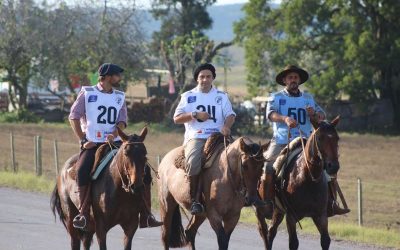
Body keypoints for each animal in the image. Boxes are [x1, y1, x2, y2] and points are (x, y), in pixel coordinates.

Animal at [256, 116, 340, 249]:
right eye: (320, 138)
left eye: (337, 138)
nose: (333, 166)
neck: (307, 178)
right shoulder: (291, 216)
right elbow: (293, 243)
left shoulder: (320, 215)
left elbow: (325, 240)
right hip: (260, 211)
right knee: (264, 232)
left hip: (278, 211)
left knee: (271, 231)